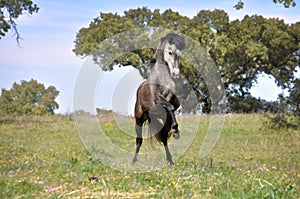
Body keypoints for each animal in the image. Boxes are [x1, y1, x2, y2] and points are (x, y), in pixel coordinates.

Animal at [132, 33, 185, 165]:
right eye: (170, 52)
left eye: (180, 54)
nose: (176, 73)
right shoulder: (157, 101)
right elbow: (169, 106)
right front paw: (175, 130)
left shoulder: (174, 103)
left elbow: (172, 107)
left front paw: (175, 130)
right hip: (139, 119)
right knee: (139, 139)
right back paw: (133, 161)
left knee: (164, 137)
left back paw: (170, 160)